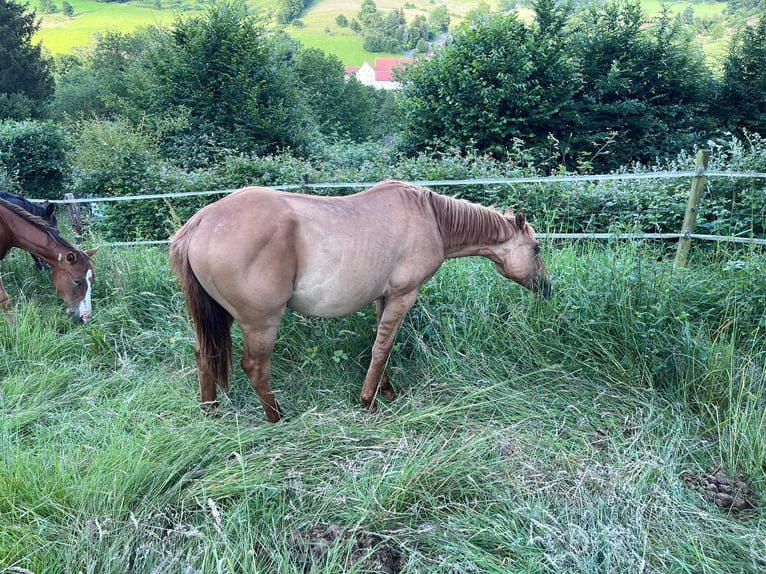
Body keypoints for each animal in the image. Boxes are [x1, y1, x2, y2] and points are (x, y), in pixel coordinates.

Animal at [170, 182, 552, 426]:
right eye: (536, 249)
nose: (547, 289)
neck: (432, 218)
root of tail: (202, 221)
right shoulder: (403, 296)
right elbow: (382, 348)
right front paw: (369, 401)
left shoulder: (385, 298)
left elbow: (383, 346)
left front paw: (387, 391)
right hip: (260, 322)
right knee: (255, 368)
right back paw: (278, 419)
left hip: (221, 318)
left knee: (204, 354)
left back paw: (210, 412)